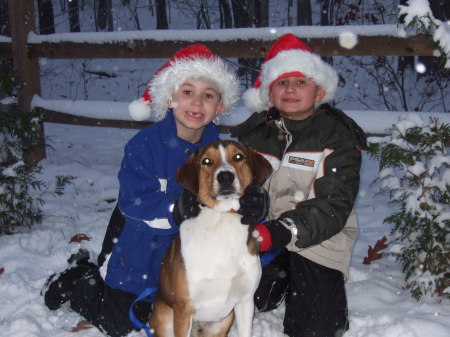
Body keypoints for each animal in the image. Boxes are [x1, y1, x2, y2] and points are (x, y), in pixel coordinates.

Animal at [149, 140, 272, 336]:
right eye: (207, 161)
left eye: (238, 156)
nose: (225, 176)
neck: (223, 219)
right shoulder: (184, 309)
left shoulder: (246, 301)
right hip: (165, 317)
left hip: (224, 321)